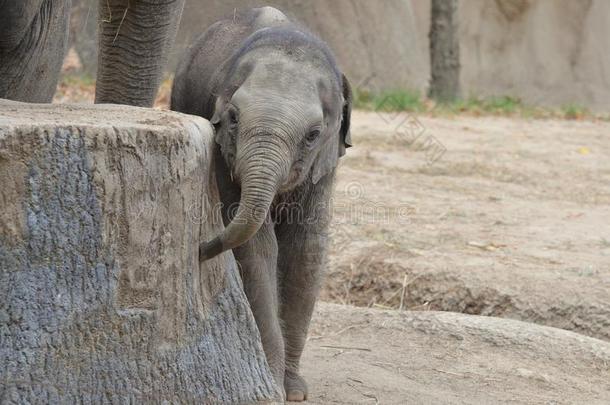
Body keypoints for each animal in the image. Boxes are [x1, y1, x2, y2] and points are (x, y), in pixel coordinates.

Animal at [171, 7, 352, 400]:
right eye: (233, 118)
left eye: (313, 135)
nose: (200, 248)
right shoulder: (222, 150)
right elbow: (258, 247)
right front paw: (274, 386)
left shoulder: (325, 163)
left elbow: (305, 250)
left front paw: (295, 391)